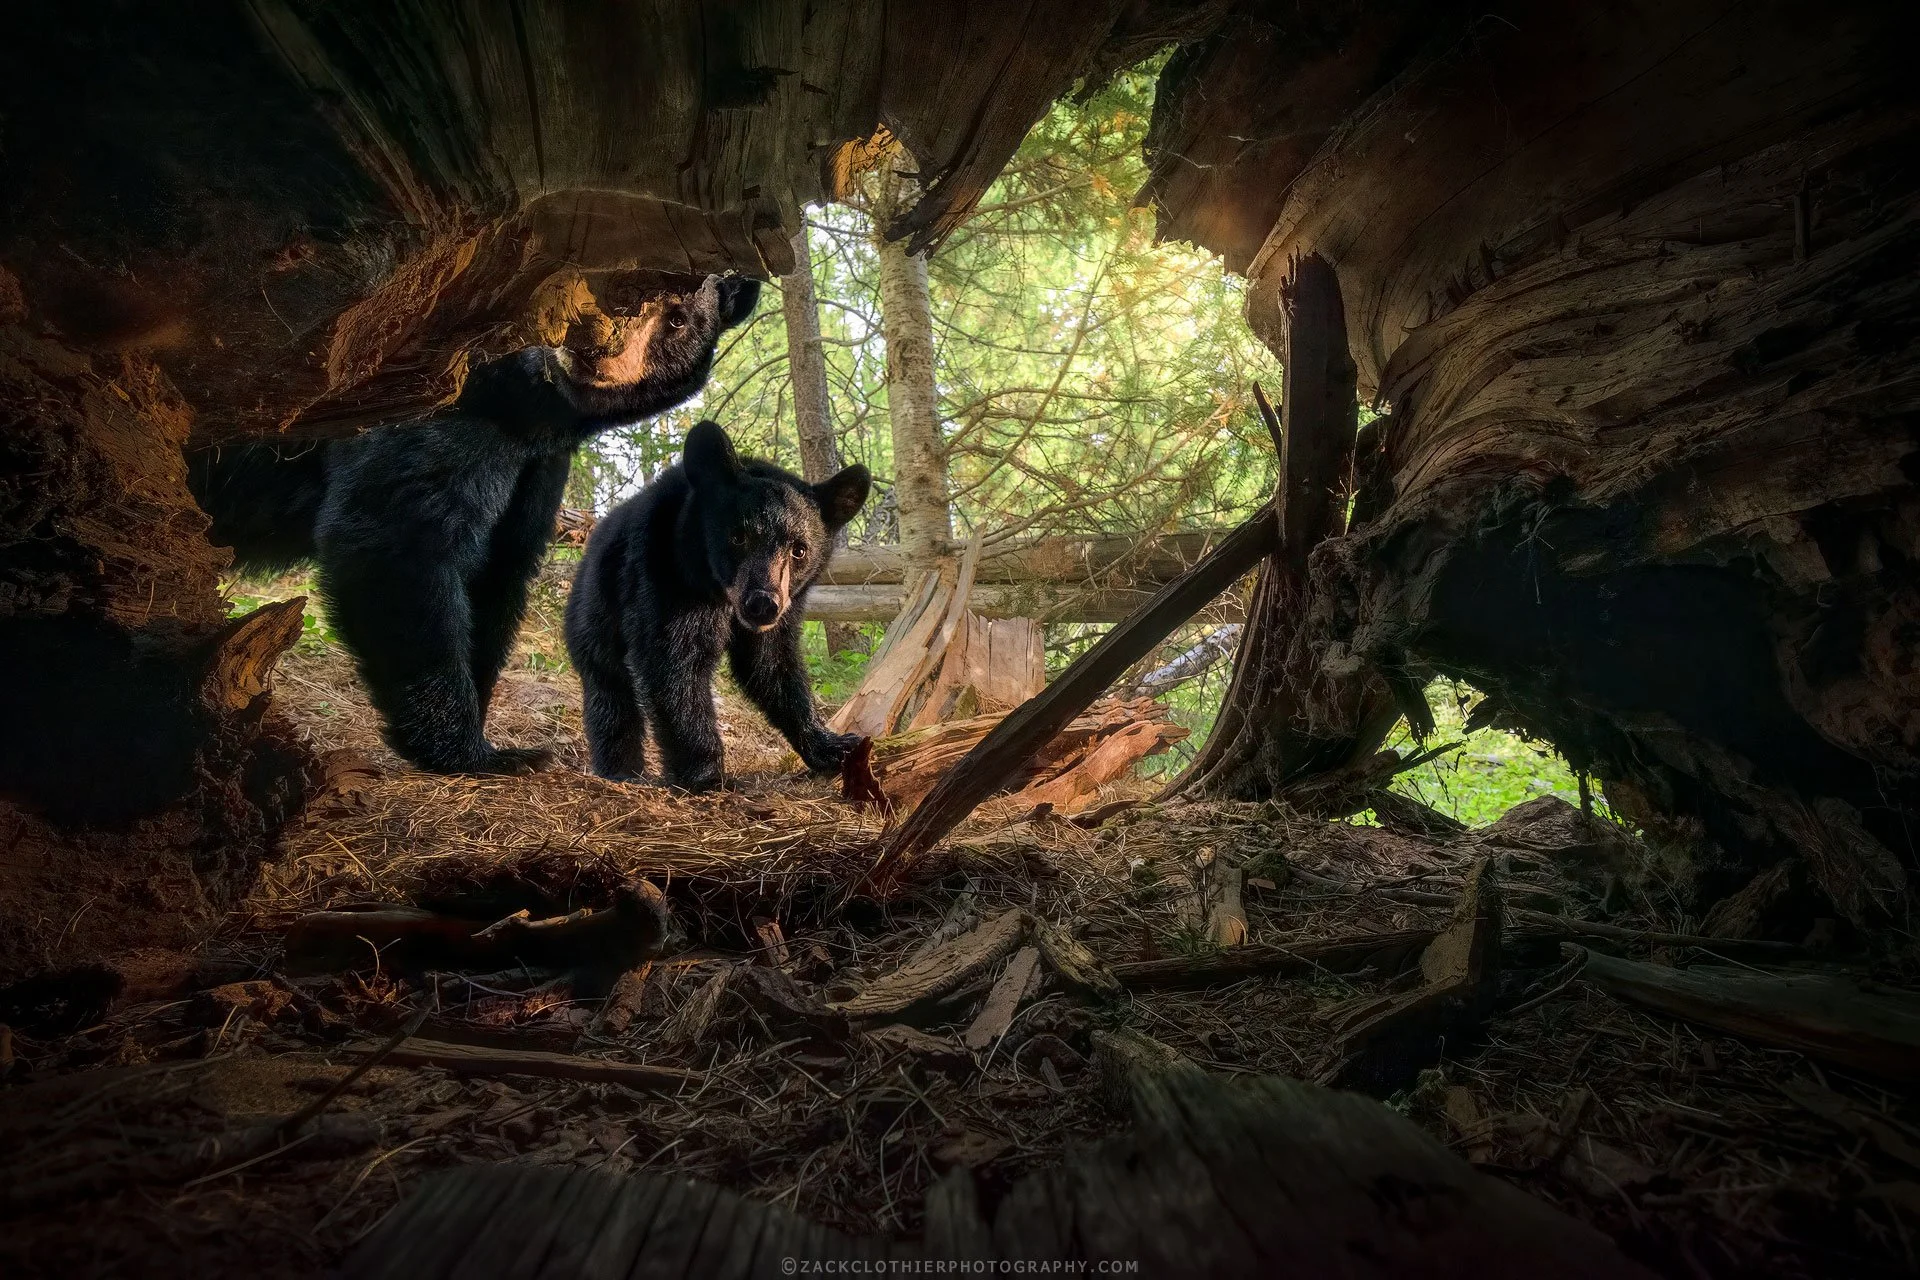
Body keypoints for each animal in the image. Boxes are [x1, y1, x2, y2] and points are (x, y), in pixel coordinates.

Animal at [187, 273, 760, 774]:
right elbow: (399, 535)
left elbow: (498, 572)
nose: (595, 346)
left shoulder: (535, 464)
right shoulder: (431, 404)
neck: (525, 401)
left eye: (678, 318)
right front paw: (470, 751)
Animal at [565, 419, 871, 791]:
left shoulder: (788, 606)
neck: (716, 591)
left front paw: (831, 745)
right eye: (738, 536)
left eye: (799, 549)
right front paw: (705, 774)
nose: (762, 604)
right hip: (593, 617)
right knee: (610, 695)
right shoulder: (663, 576)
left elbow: (771, 665)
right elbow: (672, 663)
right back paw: (621, 769)